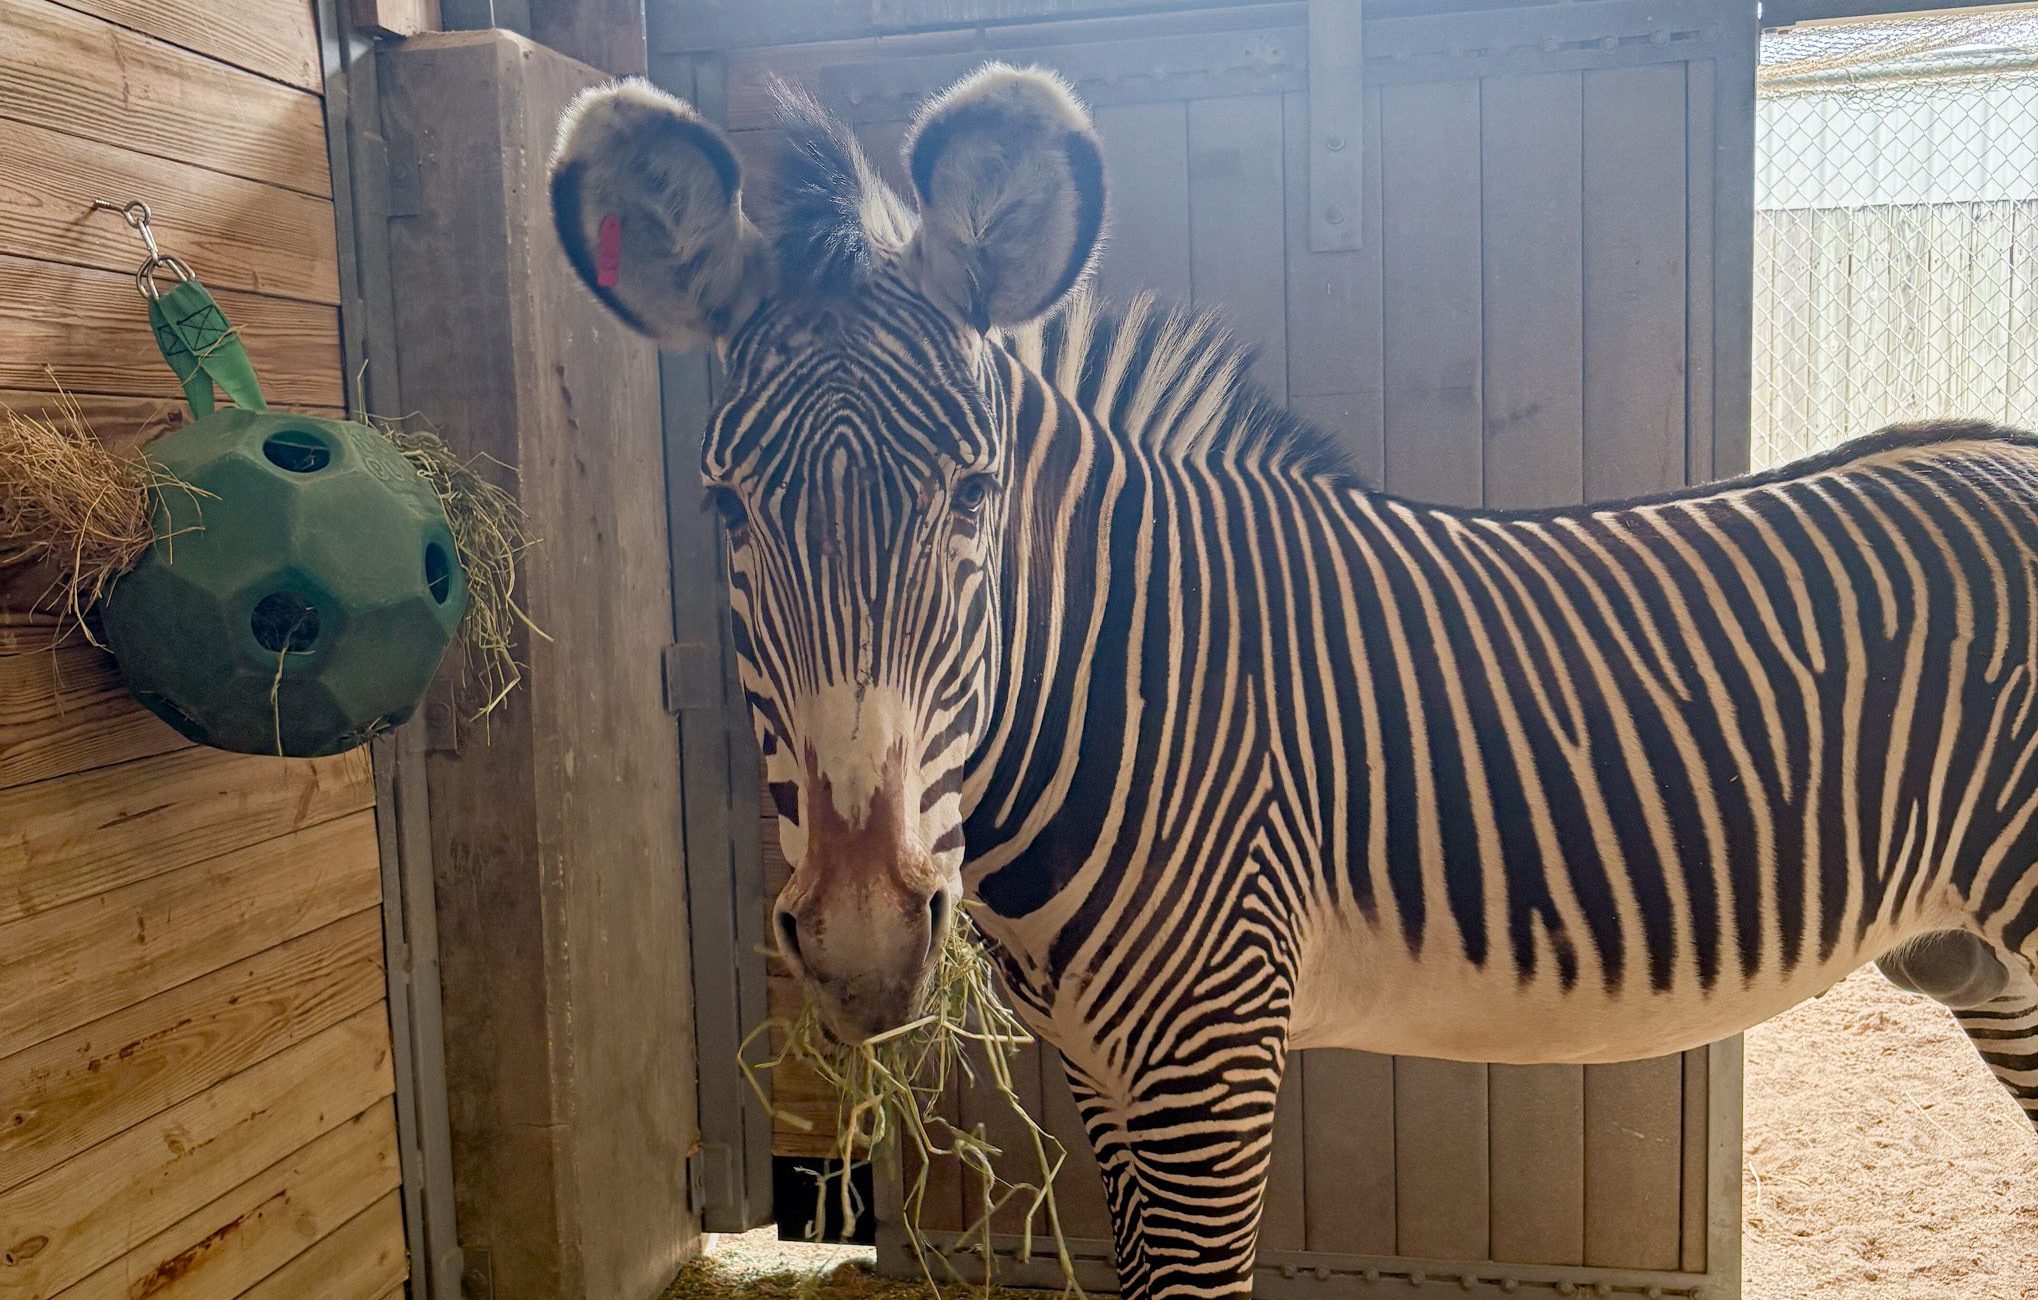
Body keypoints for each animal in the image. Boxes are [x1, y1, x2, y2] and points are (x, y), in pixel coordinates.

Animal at [551, 64, 2038, 1298]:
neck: (1122, 682)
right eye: (724, 508)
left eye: (974, 494)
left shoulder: (1205, 1069)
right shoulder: (1105, 1073)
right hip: (1989, 965)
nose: (863, 945)